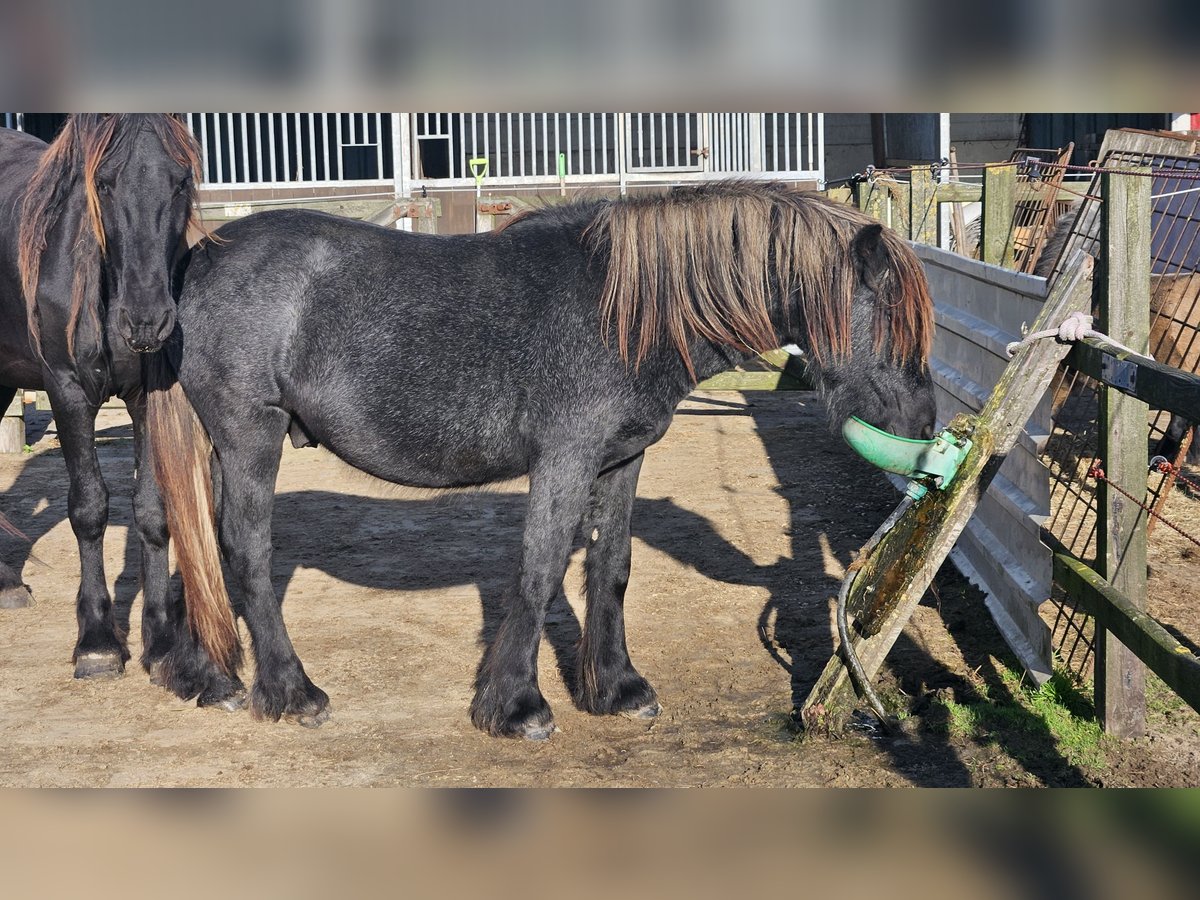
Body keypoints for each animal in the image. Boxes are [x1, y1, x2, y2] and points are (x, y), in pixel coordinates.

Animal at [0, 114, 207, 681]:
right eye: (106, 185)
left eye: (181, 181)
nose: (147, 321)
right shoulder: (67, 391)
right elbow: (89, 507)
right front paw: (97, 641)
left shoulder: (147, 397)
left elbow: (153, 509)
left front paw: (160, 639)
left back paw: (6, 583)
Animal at [145, 181, 937, 738]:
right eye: (892, 322)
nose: (926, 428)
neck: (626, 312)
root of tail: (198, 261)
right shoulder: (566, 458)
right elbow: (540, 568)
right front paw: (517, 706)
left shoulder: (622, 460)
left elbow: (610, 567)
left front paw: (616, 688)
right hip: (249, 432)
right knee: (243, 550)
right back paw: (291, 692)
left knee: (185, 538)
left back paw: (203, 677)